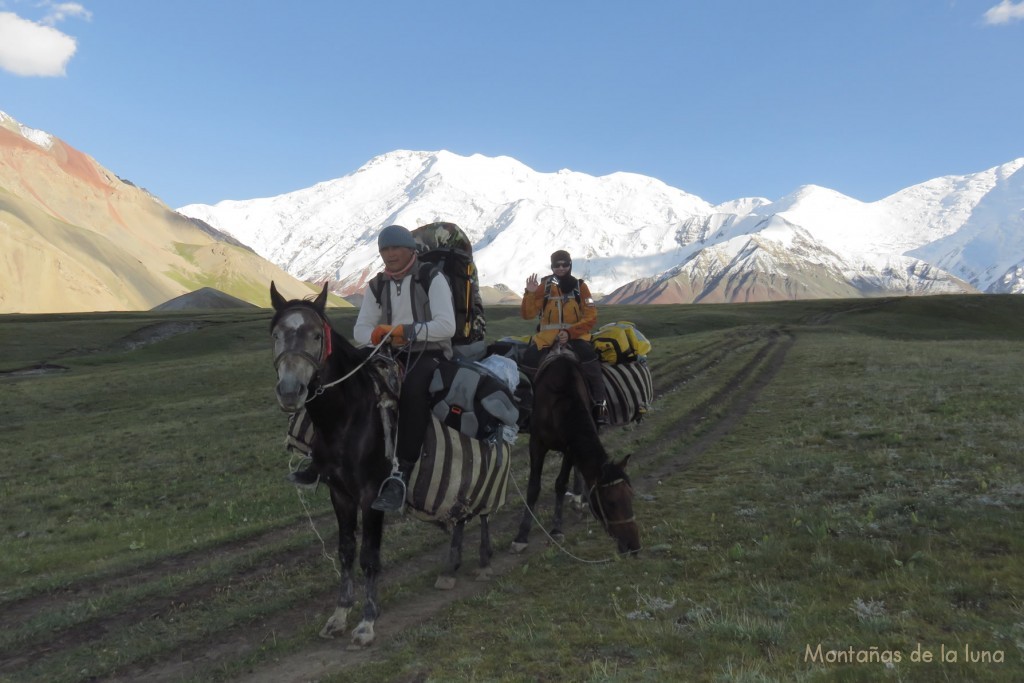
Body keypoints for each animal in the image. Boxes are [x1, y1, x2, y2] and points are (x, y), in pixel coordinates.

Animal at [268, 282, 499, 647]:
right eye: (276, 334)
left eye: (316, 335)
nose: (290, 391)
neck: (346, 418)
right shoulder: (340, 495)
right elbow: (346, 551)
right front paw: (339, 615)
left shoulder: (370, 494)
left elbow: (369, 557)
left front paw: (367, 622)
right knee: (460, 512)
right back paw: (450, 569)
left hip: (482, 459)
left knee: (484, 504)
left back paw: (485, 560)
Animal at [509, 348, 638, 557]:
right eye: (609, 502)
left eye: (630, 495)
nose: (633, 545)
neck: (559, 400)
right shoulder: (536, 443)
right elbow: (533, 487)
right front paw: (521, 536)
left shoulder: (569, 448)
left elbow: (561, 484)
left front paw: (556, 529)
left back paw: (579, 499)